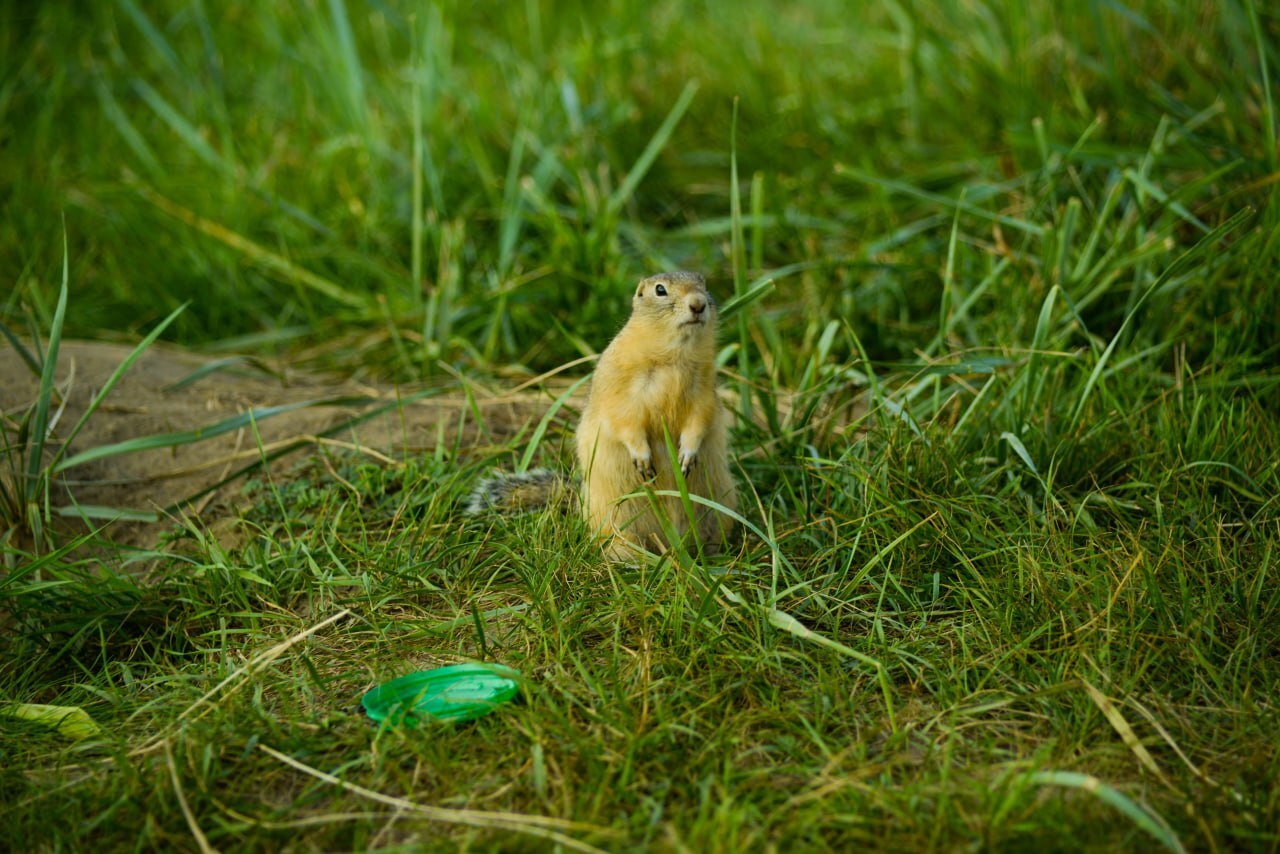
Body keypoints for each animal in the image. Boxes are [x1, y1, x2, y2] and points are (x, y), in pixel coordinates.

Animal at [465, 268, 737, 560]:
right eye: (660, 290)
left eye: (703, 284)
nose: (698, 304)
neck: (672, 357)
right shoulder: (621, 391)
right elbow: (625, 421)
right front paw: (642, 458)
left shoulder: (704, 390)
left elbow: (699, 421)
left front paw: (687, 454)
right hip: (616, 515)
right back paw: (629, 556)